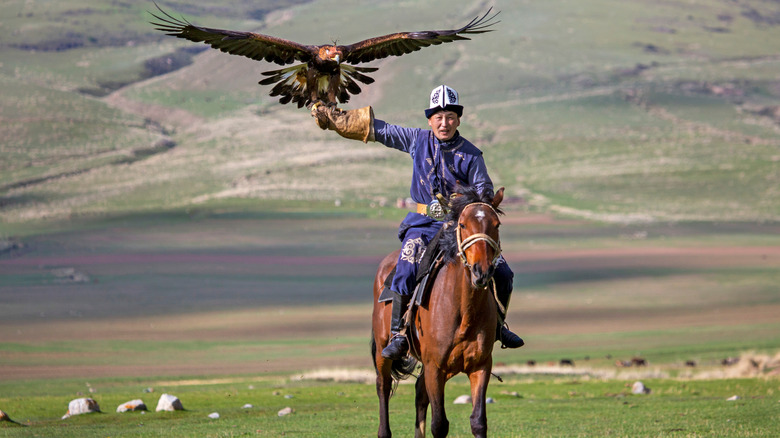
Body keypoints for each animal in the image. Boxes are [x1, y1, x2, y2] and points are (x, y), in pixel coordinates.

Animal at [372, 186, 506, 438]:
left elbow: (478, 421)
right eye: (462, 224)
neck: (464, 312)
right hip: (384, 350)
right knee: (383, 387)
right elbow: (439, 424)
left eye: (496, 224)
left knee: (419, 391)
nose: (481, 271)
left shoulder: (481, 366)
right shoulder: (436, 367)